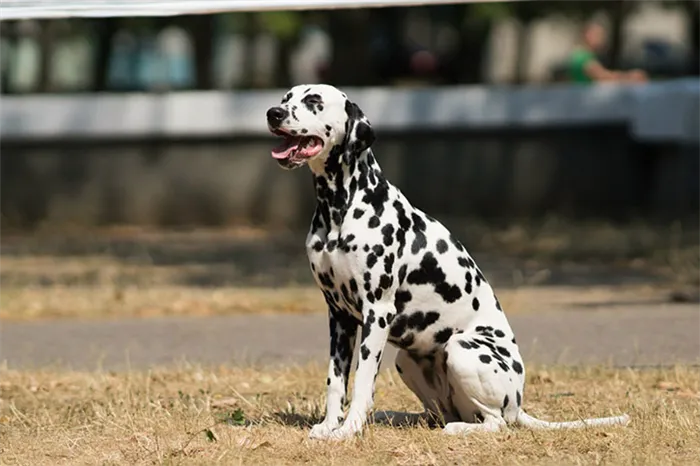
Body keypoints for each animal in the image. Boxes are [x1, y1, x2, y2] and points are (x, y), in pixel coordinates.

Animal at [266, 84, 632, 440]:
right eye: (286, 97)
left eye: (314, 100)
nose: (273, 113)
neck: (340, 208)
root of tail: (518, 404)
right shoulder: (339, 316)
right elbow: (335, 380)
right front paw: (330, 425)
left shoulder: (376, 312)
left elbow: (362, 380)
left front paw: (348, 430)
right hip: (407, 360)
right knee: (440, 414)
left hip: (461, 349)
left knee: (495, 423)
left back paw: (456, 429)